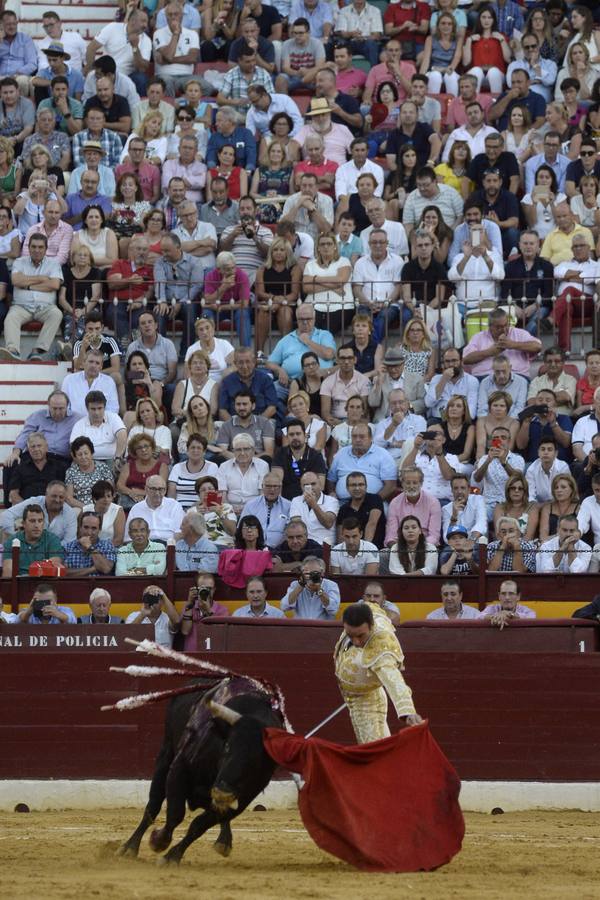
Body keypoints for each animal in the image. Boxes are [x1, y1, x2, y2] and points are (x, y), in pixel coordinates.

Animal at [120, 676, 284, 864]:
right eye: (227, 746)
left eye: (259, 762)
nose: (223, 792)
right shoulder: (179, 768)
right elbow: (175, 814)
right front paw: (158, 840)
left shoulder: (242, 800)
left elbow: (199, 826)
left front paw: (172, 856)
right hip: (165, 755)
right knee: (153, 805)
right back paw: (129, 847)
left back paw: (224, 841)